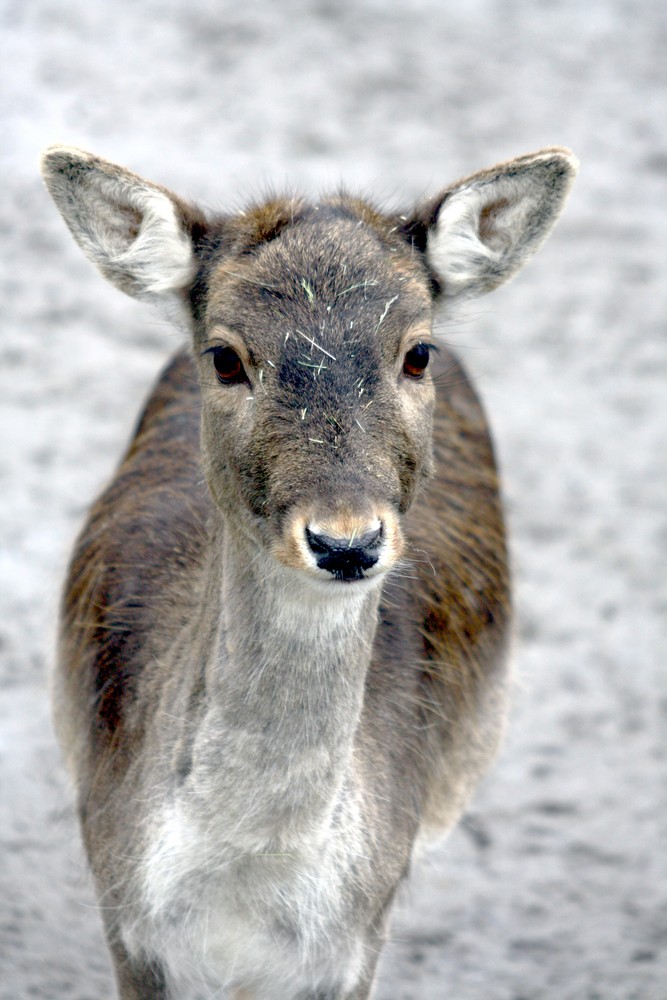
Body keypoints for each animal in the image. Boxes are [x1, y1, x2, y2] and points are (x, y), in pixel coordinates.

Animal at [40, 143, 576, 1000]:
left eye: (416, 352)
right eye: (225, 358)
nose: (346, 542)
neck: (241, 904)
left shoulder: (357, 942)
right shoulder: (126, 927)